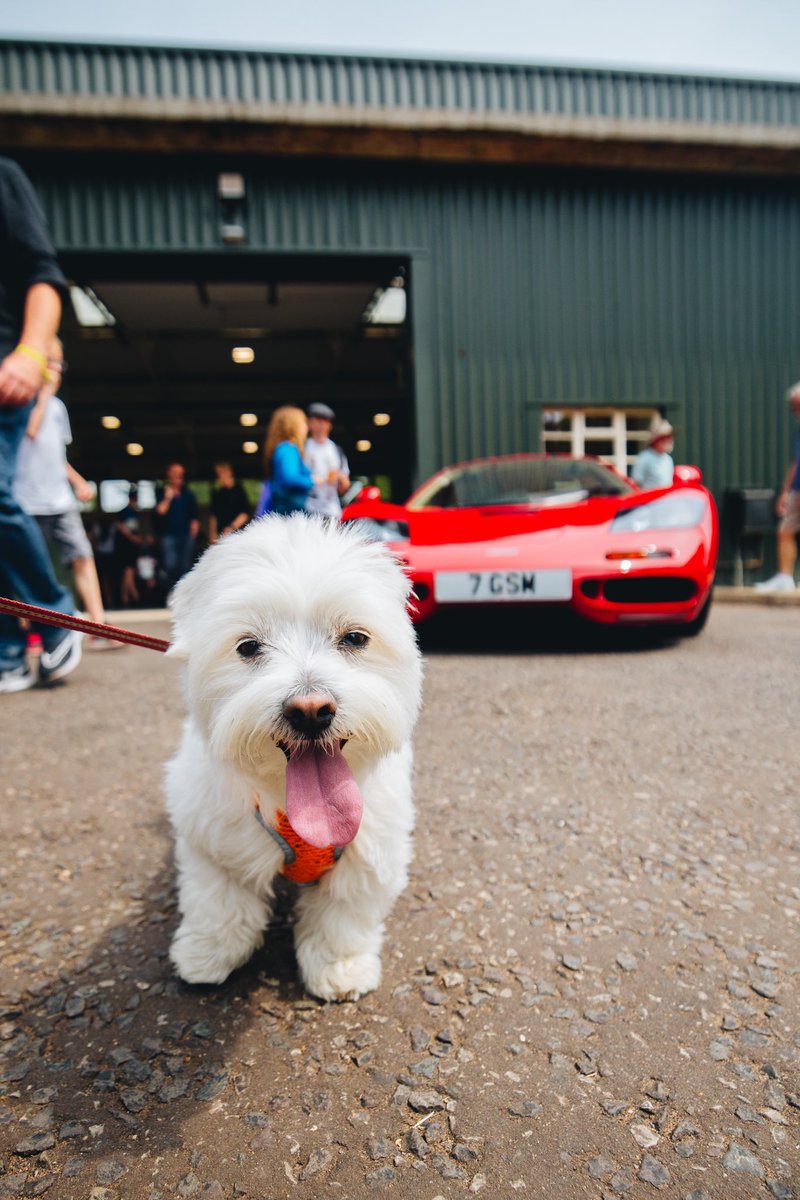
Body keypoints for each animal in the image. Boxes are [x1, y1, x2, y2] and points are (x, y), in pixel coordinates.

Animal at [164, 516, 424, 1003]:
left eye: (355, 638)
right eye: (248, 646)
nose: (310, 709)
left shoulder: (370, 851)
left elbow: (343, 915)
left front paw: (340, 968)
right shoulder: (211, 834)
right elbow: (218, 899)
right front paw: (207, 954)